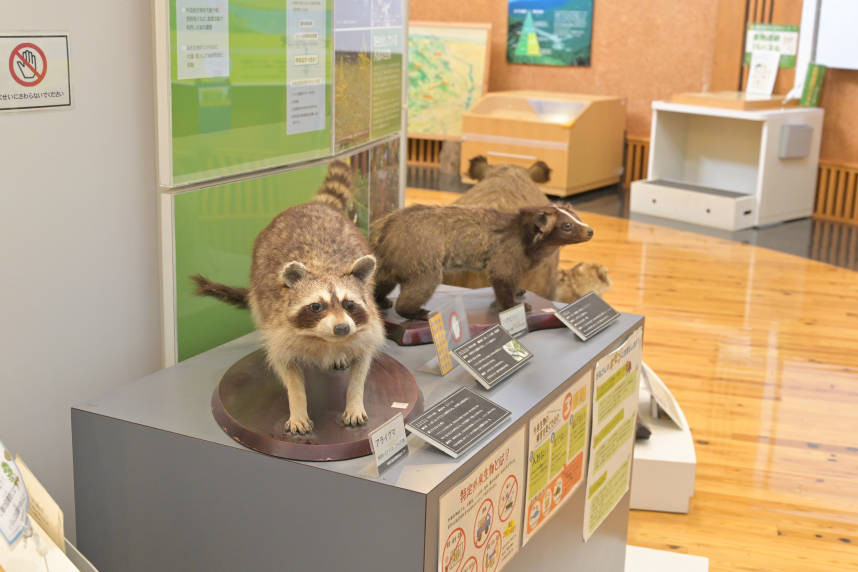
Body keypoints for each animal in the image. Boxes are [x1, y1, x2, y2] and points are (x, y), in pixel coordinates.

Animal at [192, 160, 386, 434]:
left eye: (349, 304)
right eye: (316, 306)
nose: (341, 329)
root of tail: (315, 205)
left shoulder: (367, 326)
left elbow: (362, 363)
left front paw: (355, 400)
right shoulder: (278, 328)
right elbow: (288, 372)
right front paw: (298, 407)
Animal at [372, 201, 592, 320]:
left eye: (578, 218)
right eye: (567, 226)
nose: (590, 231)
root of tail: (385, 235)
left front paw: (519, 290)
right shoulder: (508, 250)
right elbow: (502, 275)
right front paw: (515, 304)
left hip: (391, 265)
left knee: (381, 283)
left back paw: (382, 301)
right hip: (420, 257)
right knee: (421, 285)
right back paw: (418, 312)